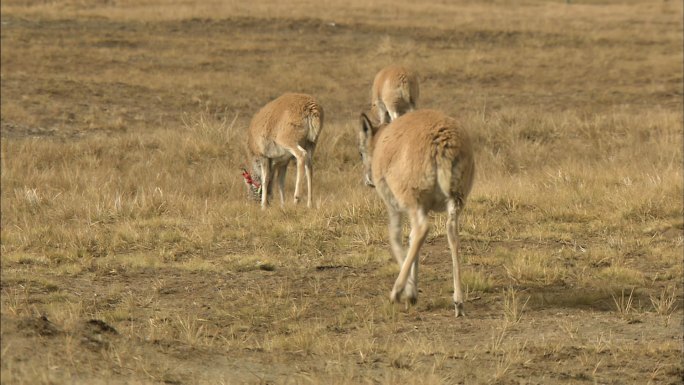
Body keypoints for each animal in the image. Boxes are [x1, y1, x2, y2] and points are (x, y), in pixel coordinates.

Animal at [358, 108, 476, 316]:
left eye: (360, 153)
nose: (368, 181)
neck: (381, 141)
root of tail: (444, 141)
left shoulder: (393, 205)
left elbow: (396, 238)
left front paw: (410, 292)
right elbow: (411, 239)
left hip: (413, 200)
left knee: (422, 230)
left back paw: (398, 291)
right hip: (455, 201)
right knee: (452, 235)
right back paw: (458, 302)